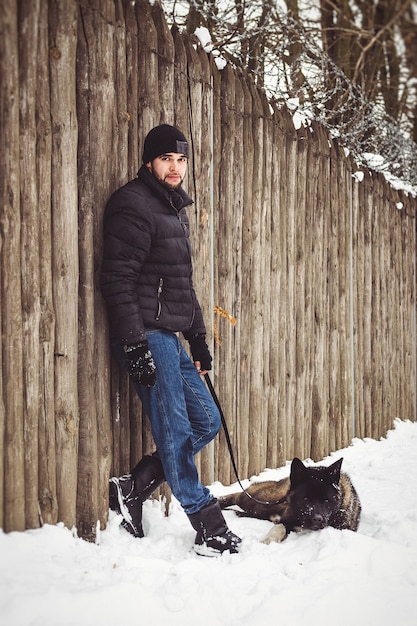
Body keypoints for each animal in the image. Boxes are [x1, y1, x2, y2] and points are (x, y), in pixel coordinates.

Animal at [218, 456, 360, 544]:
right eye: (306, 498)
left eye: (326, 500)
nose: (317, 519)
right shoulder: (286, 520)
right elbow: (279, 527)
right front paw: (268, 540)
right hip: (261, 502)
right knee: (237, 496)